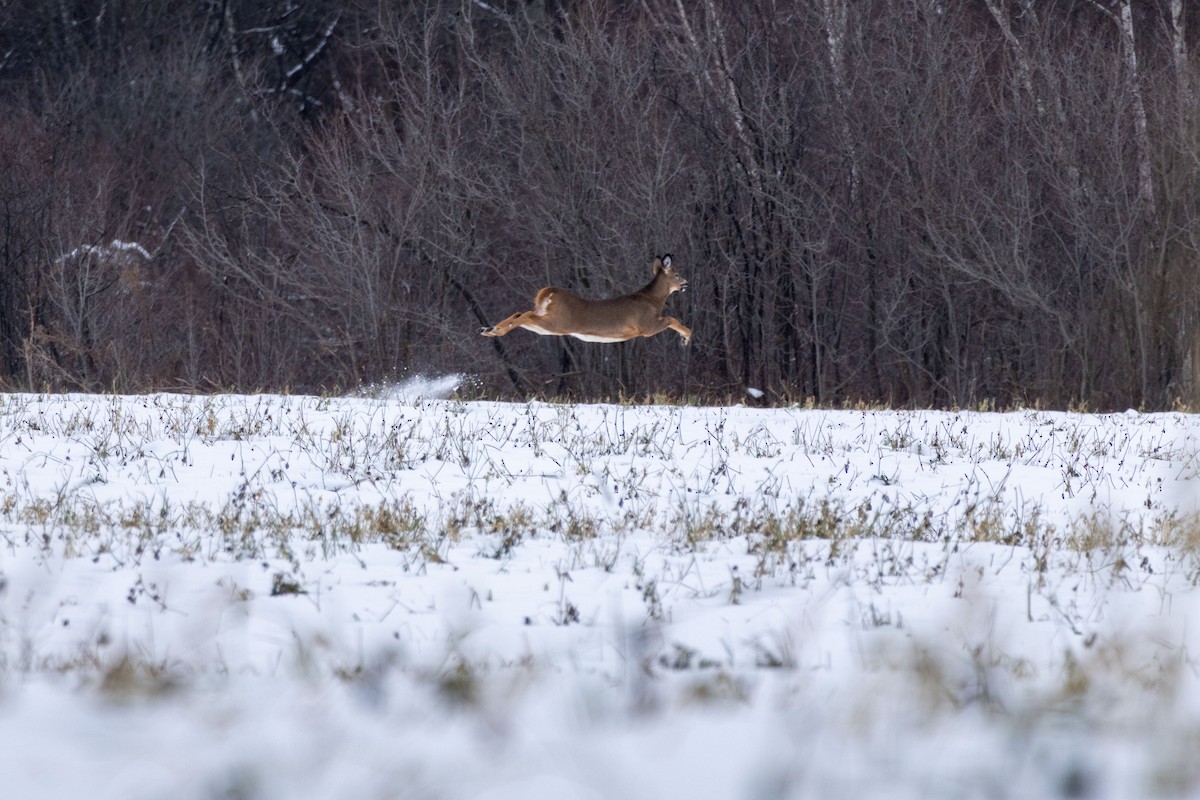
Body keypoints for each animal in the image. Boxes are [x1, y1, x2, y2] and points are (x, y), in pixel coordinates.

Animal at [480, 254, 692, 346]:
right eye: (677, 274)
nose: (686, 283)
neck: (653, 300)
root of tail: (549, 293)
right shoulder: (646, 326)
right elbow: (672, 318)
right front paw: (686, 337)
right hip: (558, 322)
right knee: (526, 315)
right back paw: (495, 331)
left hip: (549, 325)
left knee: (522, 313)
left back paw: (490, 329)